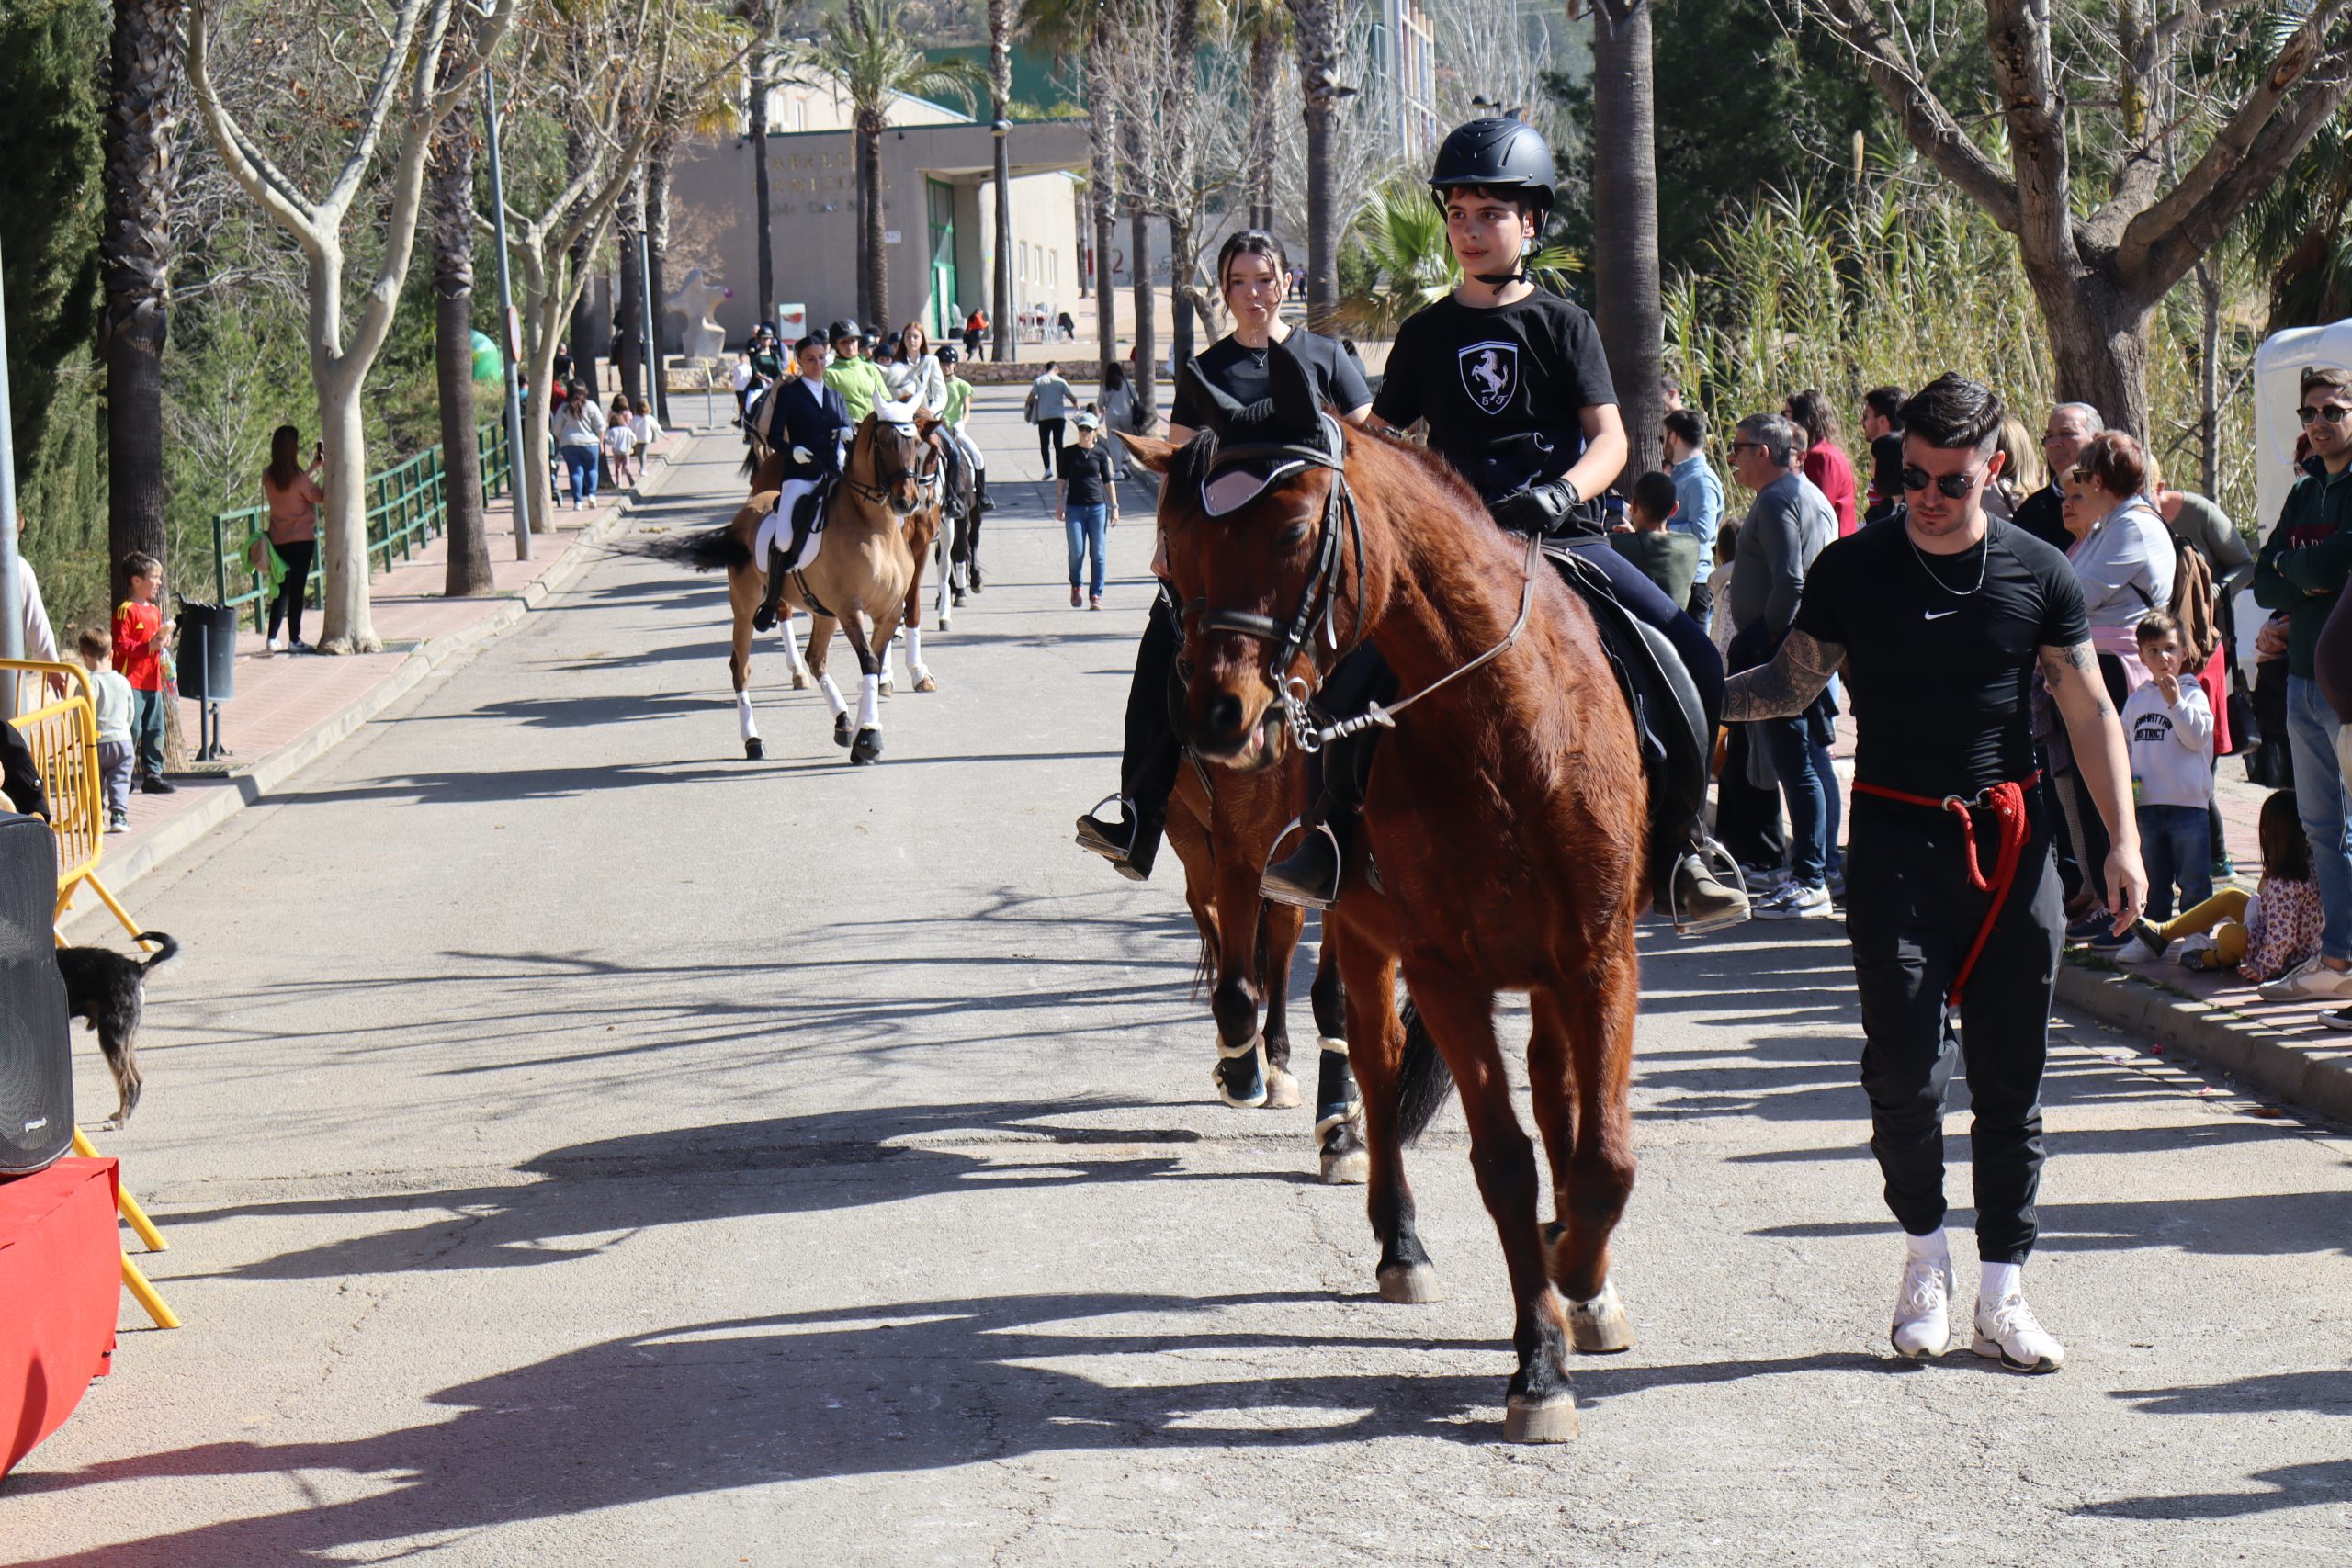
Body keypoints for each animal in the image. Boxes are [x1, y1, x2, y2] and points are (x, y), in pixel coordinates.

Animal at [56, 931, 177, 1130]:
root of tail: (136, 968)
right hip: (127, 1036)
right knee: (137, 1079)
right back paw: (122, 1115)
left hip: (111, 1036)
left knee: (129, 1082)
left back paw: (120, 1121)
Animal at [640, 408, 940, 763]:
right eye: (883, 441)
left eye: (917, 443)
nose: (908, 501)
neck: (875, 528)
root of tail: (746, 510)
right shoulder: (849, 609)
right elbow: (869, 661)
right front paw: (868, 738)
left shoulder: (888, 611)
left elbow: (876, 663)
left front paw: (862, 730)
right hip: (746, 606)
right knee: (741, 667)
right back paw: (753, 740)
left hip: (823, 613)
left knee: (815, 657)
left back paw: (842, 721)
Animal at [1119, 359, 1649, 1444]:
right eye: (1174, 548)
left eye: (1291, 531)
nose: (1216, 716)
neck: (1503, 727)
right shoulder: (1437, 966)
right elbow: (1503, 1159)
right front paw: (1539, 1364)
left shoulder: (1600, 955)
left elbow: (1605, 1156)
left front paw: (1580, 1278)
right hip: (1361, 930)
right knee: (1365, 1046)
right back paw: (1395, 1236)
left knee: (1553, 1092)